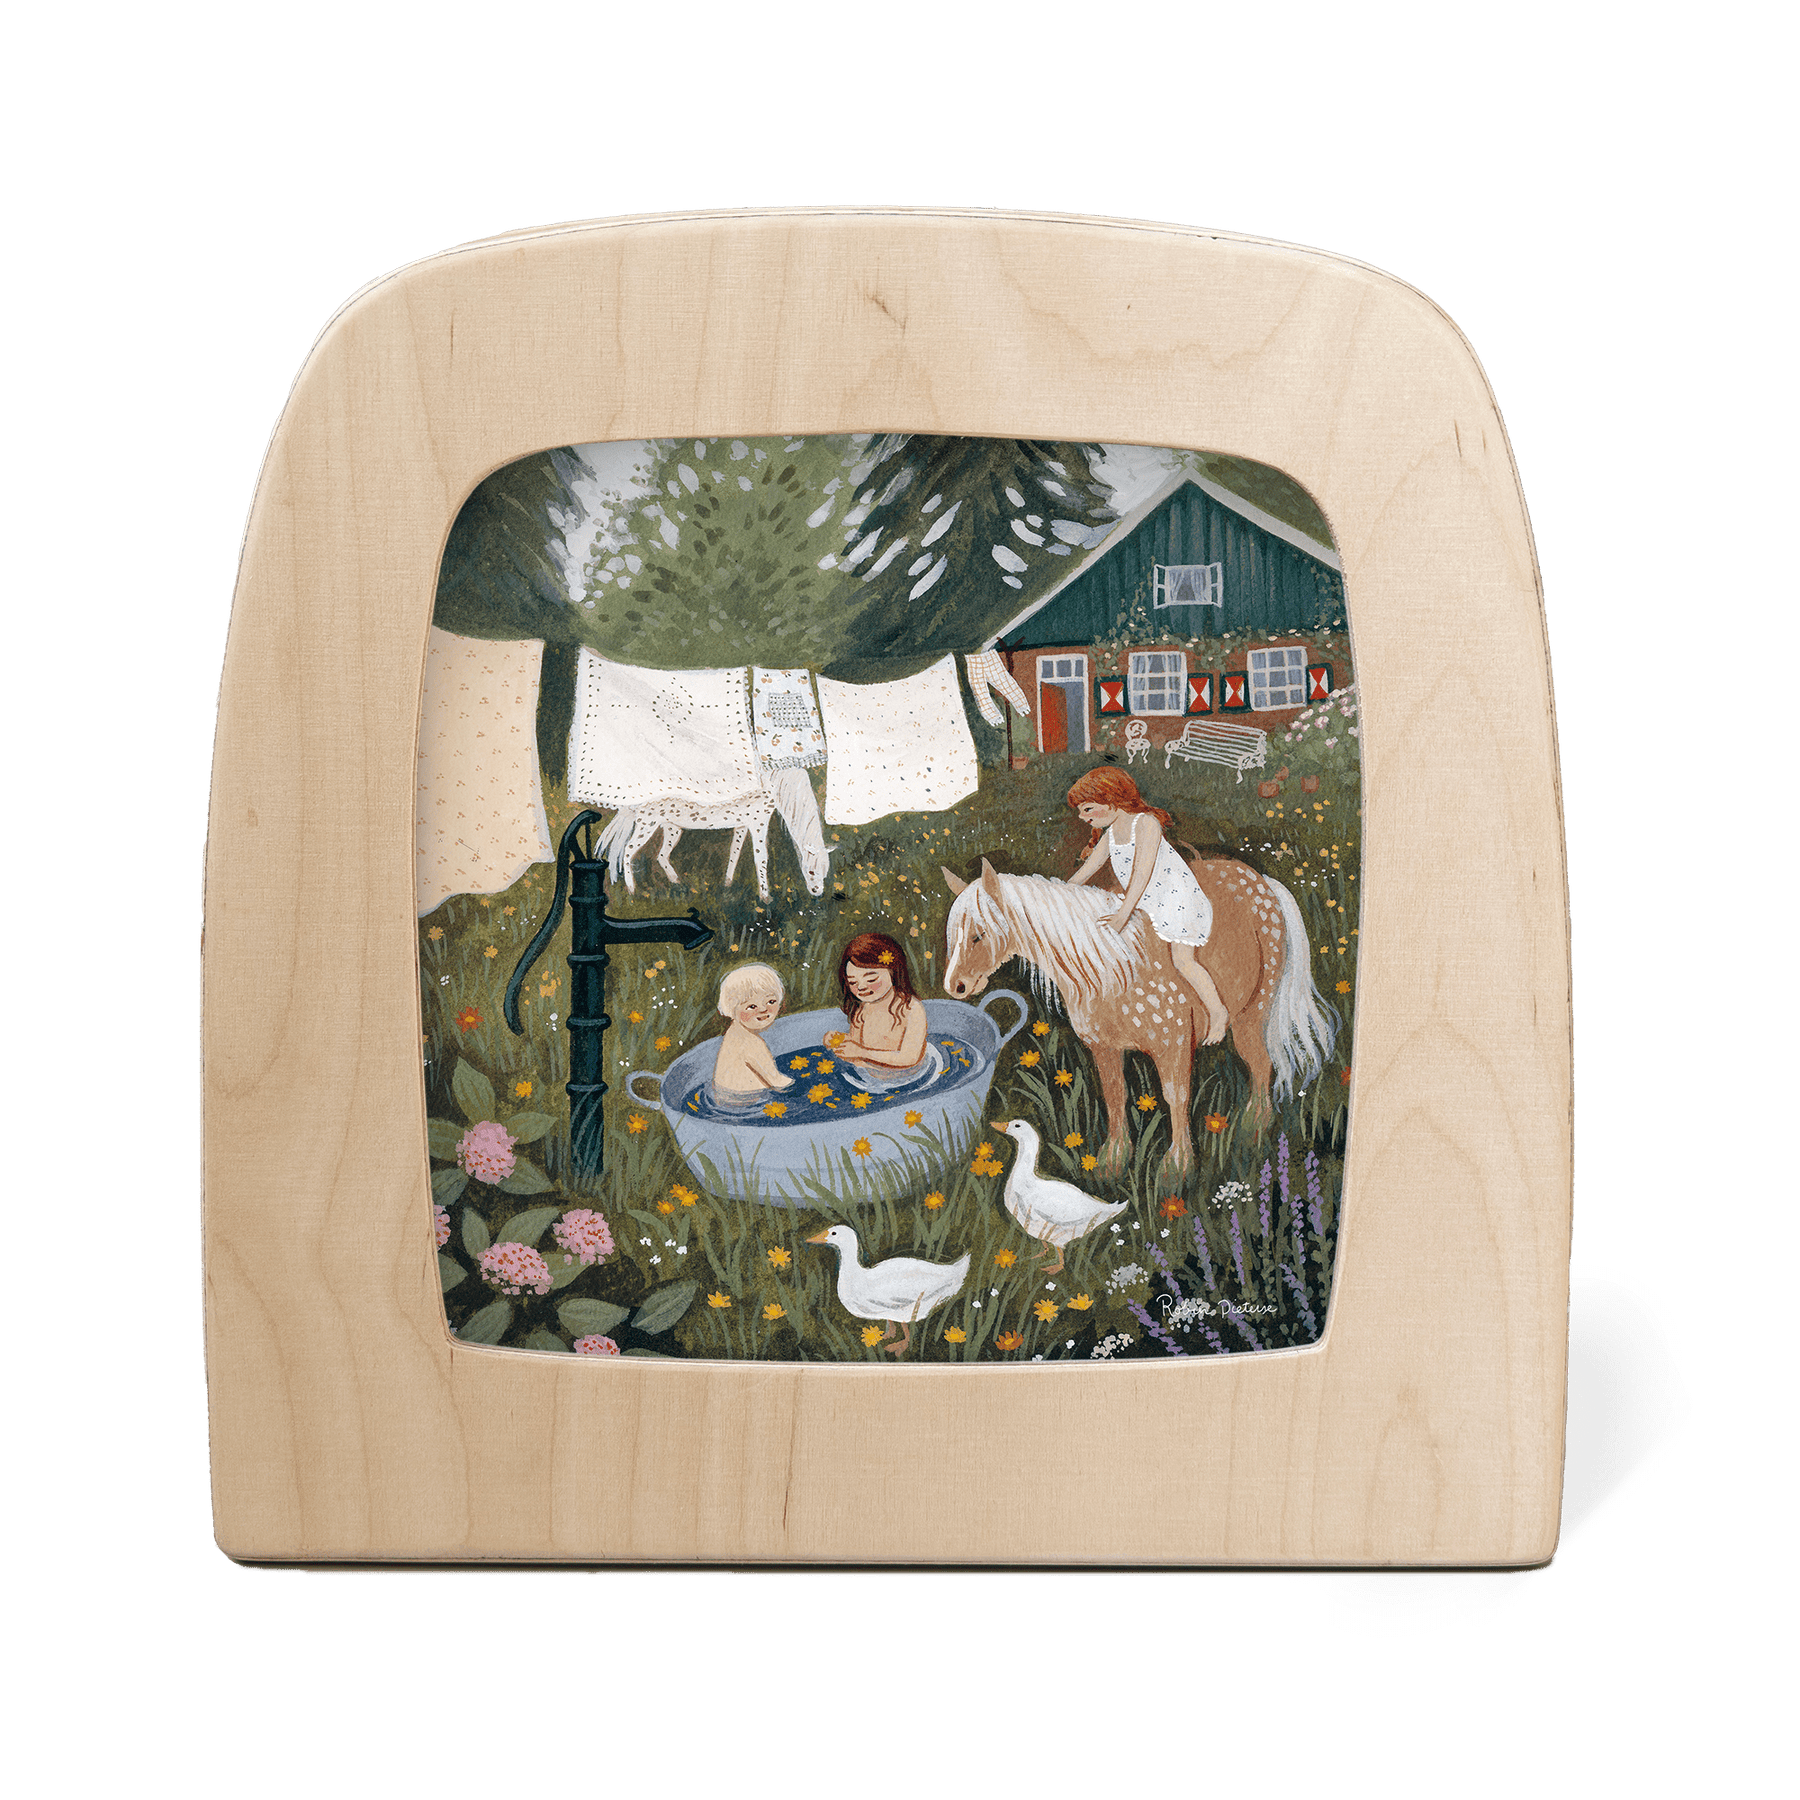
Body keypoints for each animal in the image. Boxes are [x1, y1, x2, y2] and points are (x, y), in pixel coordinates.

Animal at [595, 763, 835, 901]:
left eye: (825, 871)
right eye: (811, 871)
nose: (817, 893)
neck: (773, 784)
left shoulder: (743, 823)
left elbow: (734, 853)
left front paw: (727, 884)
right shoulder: (758, 822)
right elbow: (761, 858)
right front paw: (765, 897)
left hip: (672, 827)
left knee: (661, 855)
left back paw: (677, 883)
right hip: (647, 824)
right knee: (628, 851)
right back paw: (632, 890)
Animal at [940, 857, 1335, 1170]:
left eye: (978, 935)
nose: (955, 986)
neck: (1112, 967)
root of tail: (1262, 879)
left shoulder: (1173, 1043)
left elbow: (1176, 1095)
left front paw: (1177, 1167)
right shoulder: (1104, 1048)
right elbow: (1115, 1095)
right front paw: (1112, 1161)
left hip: (1251, 1013)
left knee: (1259, 1063)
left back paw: (1253, 1129)